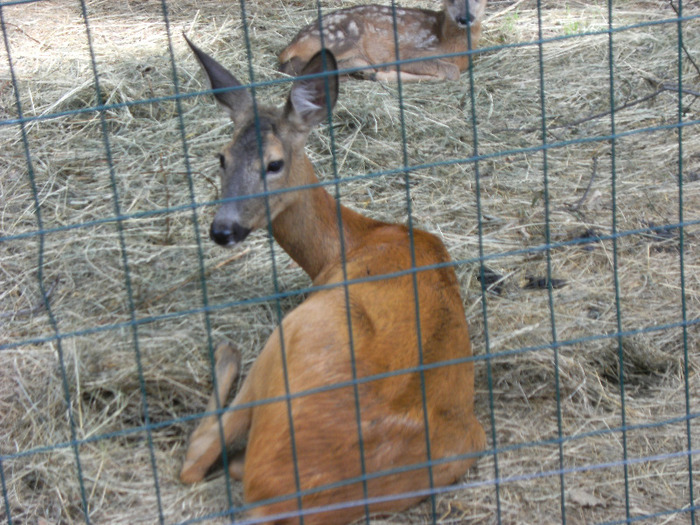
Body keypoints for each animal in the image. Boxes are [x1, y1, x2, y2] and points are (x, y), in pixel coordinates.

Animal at [180, 33, 486, 524]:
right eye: (221, 157)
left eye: (274, 164)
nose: (223, 229)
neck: (353, 241)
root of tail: (278, 500)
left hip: (291, 333)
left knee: (199, 457)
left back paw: (226, 352)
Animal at [276, 0, 484, 81]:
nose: (465, 18)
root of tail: (290, 46)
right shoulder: (412, 52)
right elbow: (452, 71)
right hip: (344, 35)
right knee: (297, 70)